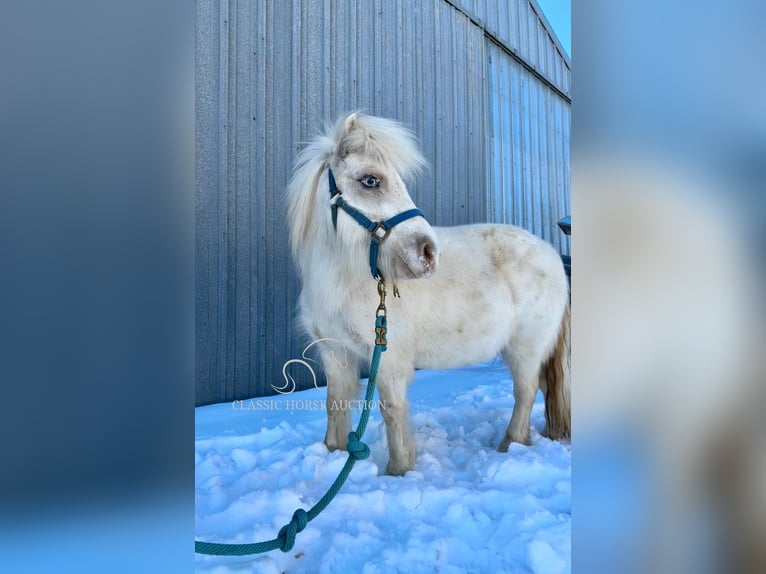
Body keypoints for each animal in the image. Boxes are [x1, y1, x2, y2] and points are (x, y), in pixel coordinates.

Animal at [288, 112, 568, 476]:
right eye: (370, 181)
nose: (429, 253)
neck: (343, 279)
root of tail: (551, 254)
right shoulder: (335, 353)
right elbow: (335, 404)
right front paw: (333, 453)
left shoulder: (389, 358)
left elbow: (392, 409)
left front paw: (399, 470)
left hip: (525, 347)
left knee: (527, 389)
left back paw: (510, 445)